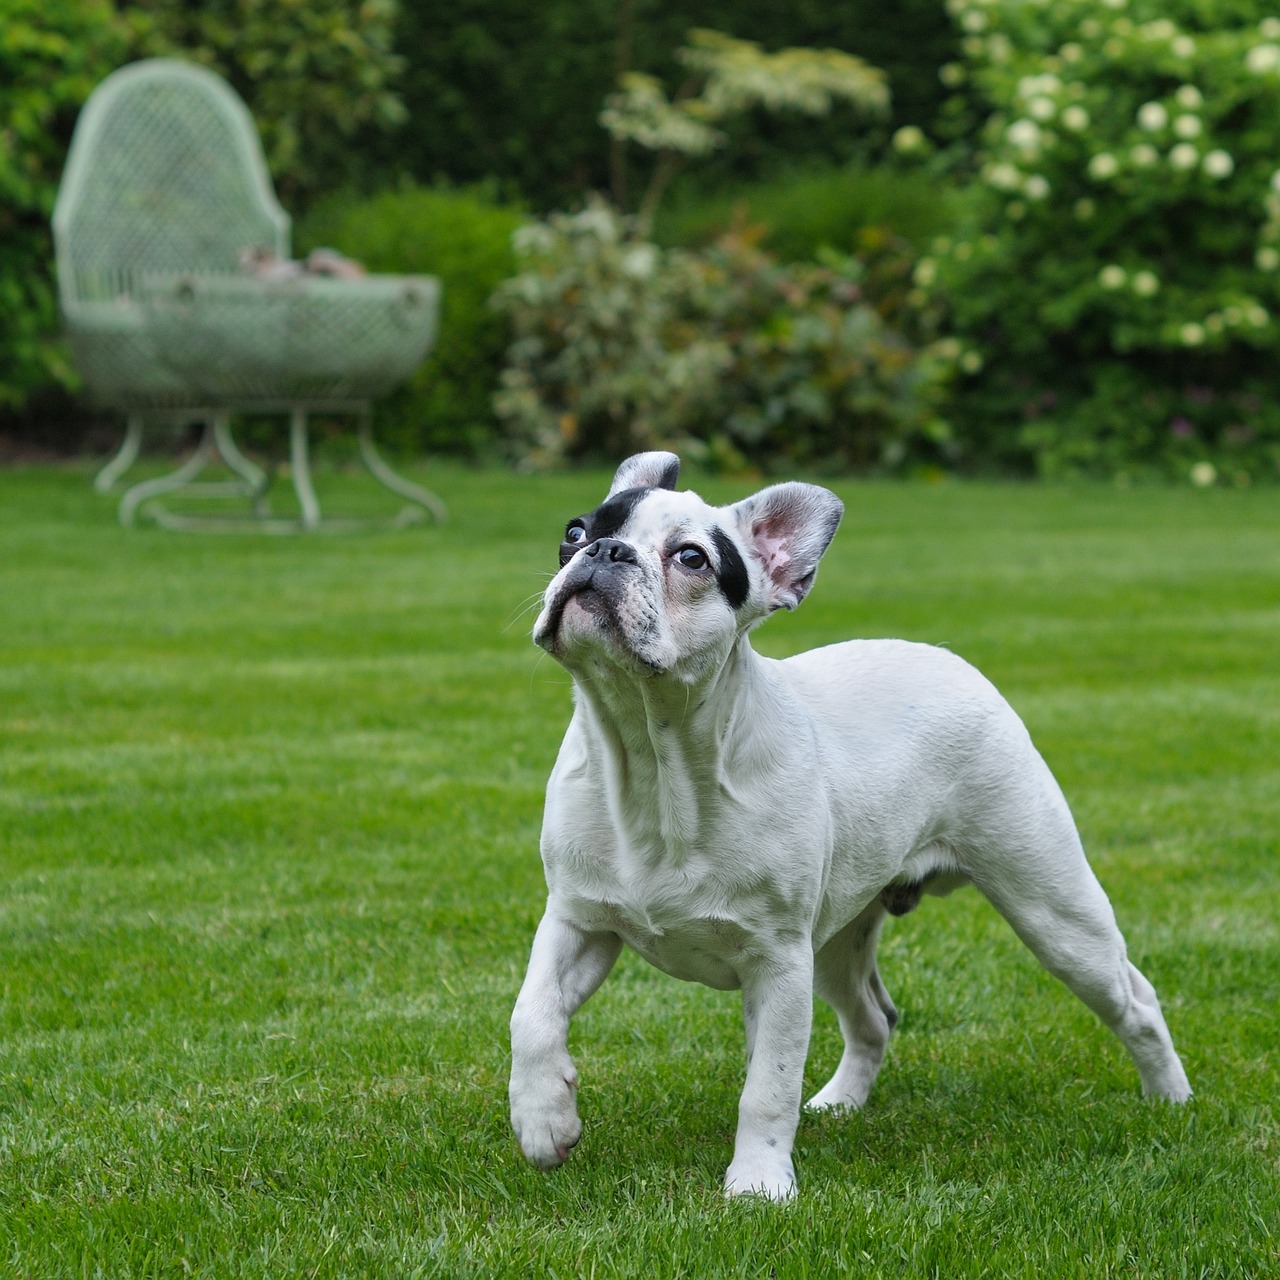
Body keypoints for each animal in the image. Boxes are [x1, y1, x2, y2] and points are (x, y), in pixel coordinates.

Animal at [509, 453, 1187, 1198]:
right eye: (574, 531)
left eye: (691, 558)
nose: (606, 551)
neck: (652, 760)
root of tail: (950, 662)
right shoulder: (579, 919)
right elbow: (532, 1013)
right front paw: (544, 1121)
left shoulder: (778, 962)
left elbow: (767, 1086)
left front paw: (758, 1184)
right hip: (836, 941)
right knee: (873, 1017)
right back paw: (839, 1103)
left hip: (1051, 907)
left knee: (1133, 999)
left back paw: (1172, 1103)